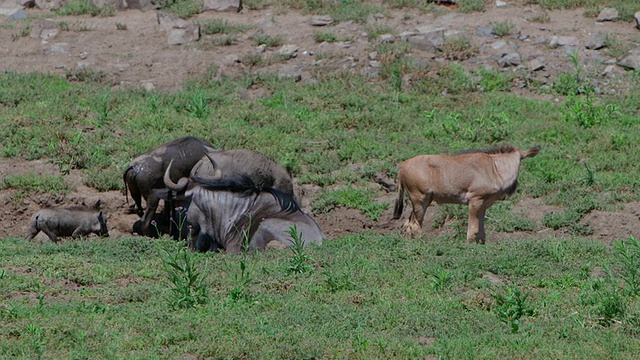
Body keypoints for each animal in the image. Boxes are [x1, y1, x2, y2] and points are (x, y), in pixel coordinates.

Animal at [392, 145, 536, 243]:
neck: (494, 168)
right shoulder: (475, 201)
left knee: (407, 225)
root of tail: (402, 166)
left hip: (425, 201)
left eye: (519, 161)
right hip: (420, 200)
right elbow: (472, 230)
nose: (514, 187)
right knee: (415, 225)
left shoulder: (484, 204)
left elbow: (481, 232)